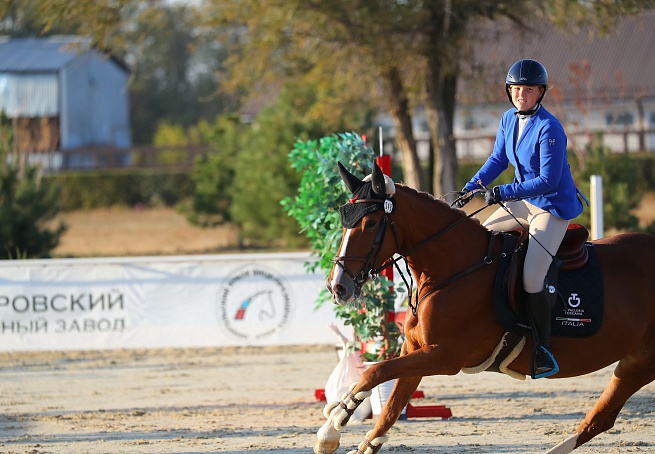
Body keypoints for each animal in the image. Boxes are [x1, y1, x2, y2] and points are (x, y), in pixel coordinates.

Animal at [316, 163, 655, 454]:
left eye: (371, 222)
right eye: (344, 220)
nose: (338, 286)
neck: (451, 268)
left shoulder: (445, 356)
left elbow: (375, 371)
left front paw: (334, 423)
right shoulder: (416, 350)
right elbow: (390, 406)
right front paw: (342, 433)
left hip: (640, 363)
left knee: (599, 419)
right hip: (633, 362)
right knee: (601, 420)